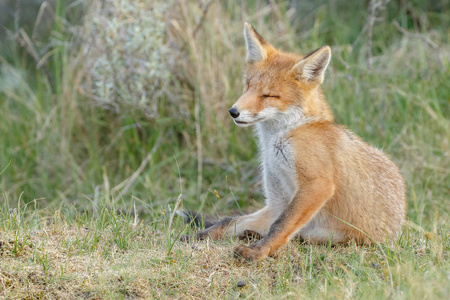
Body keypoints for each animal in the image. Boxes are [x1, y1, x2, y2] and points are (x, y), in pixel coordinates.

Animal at [181, 22, 406, 262]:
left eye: (269, 95)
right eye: (248, 86)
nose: (233, 111)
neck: (285, 135)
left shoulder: (317, 185)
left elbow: (281, 225)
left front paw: (259, 251)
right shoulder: (277, 200)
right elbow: (229, 221)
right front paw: (198, 236)